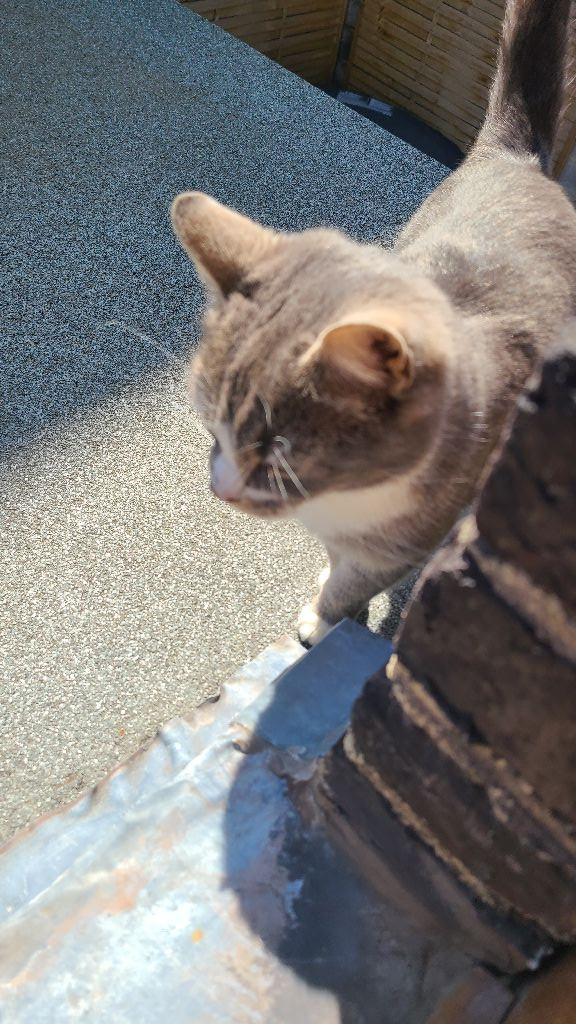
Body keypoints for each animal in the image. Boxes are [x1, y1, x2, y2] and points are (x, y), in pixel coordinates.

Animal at [171, 0, 576, 646]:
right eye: (212, 427)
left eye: (281, 451)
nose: (221, 489)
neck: (344, 501)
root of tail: (517, 159)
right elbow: (339, 563)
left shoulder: (407, 541)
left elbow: (354, 580)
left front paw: (326, 615)